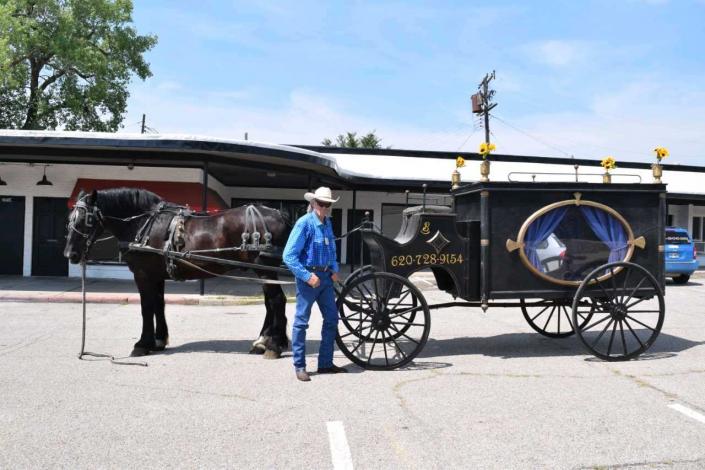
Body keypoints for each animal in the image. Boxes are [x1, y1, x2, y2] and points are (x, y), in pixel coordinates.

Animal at [63, 189, 288, 358]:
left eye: (86, 220)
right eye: (70, 219)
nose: (70, 254)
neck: (143, 224)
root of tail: (279, 214)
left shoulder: (142, 274)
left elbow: (146, 307)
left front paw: (142, 344)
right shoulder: (156, 275)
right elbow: (158, 305)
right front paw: (159, 340)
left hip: (263, 268)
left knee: (276, 301)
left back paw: (273, 346)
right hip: (263, 271)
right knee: (270, 302)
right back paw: (263, 341)